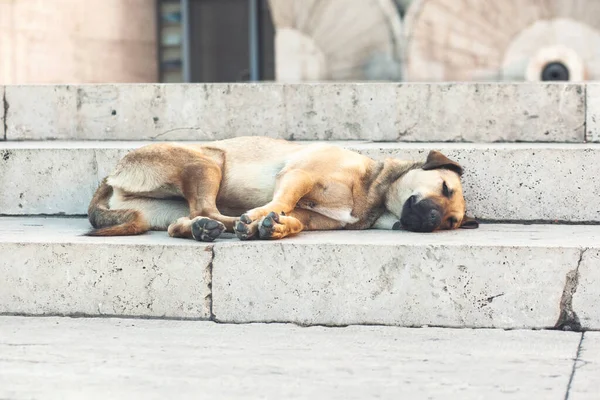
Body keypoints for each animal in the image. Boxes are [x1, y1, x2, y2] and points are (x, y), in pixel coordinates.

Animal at [85, 136, 478, 241]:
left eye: (452, 222)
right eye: (445, 187)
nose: (433, 218)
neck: (374, 195)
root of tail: (110, 177)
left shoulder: (313, 215)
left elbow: (297, 219)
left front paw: (278, 227)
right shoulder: (300, 174)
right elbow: (283, 200)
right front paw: (263, 218)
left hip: (168, 204)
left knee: (183, 220)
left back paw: (202, 229)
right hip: (207, 162)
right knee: (207, 209)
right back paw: (230, 225)